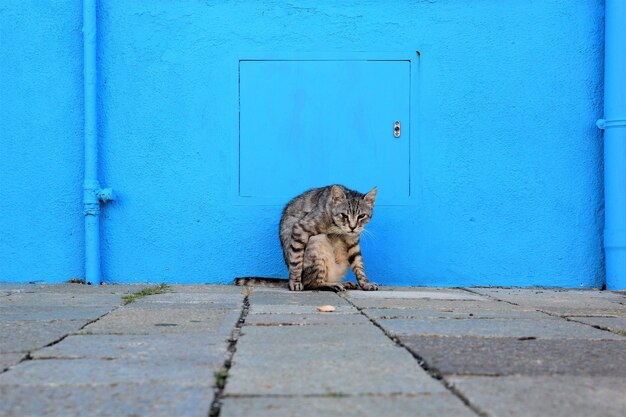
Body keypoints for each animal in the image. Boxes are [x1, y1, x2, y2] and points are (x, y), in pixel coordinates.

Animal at [235, 184, 378, 290]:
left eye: (361, 216)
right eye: (344, 215)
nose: (352, 227)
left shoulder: (353, 243)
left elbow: (359, 265)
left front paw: (365, 284)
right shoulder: (300, 228)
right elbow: (296, 261)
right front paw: (295, 282)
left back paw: (345, 283)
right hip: (317, 240)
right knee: (312, 283)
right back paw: (331, 285)